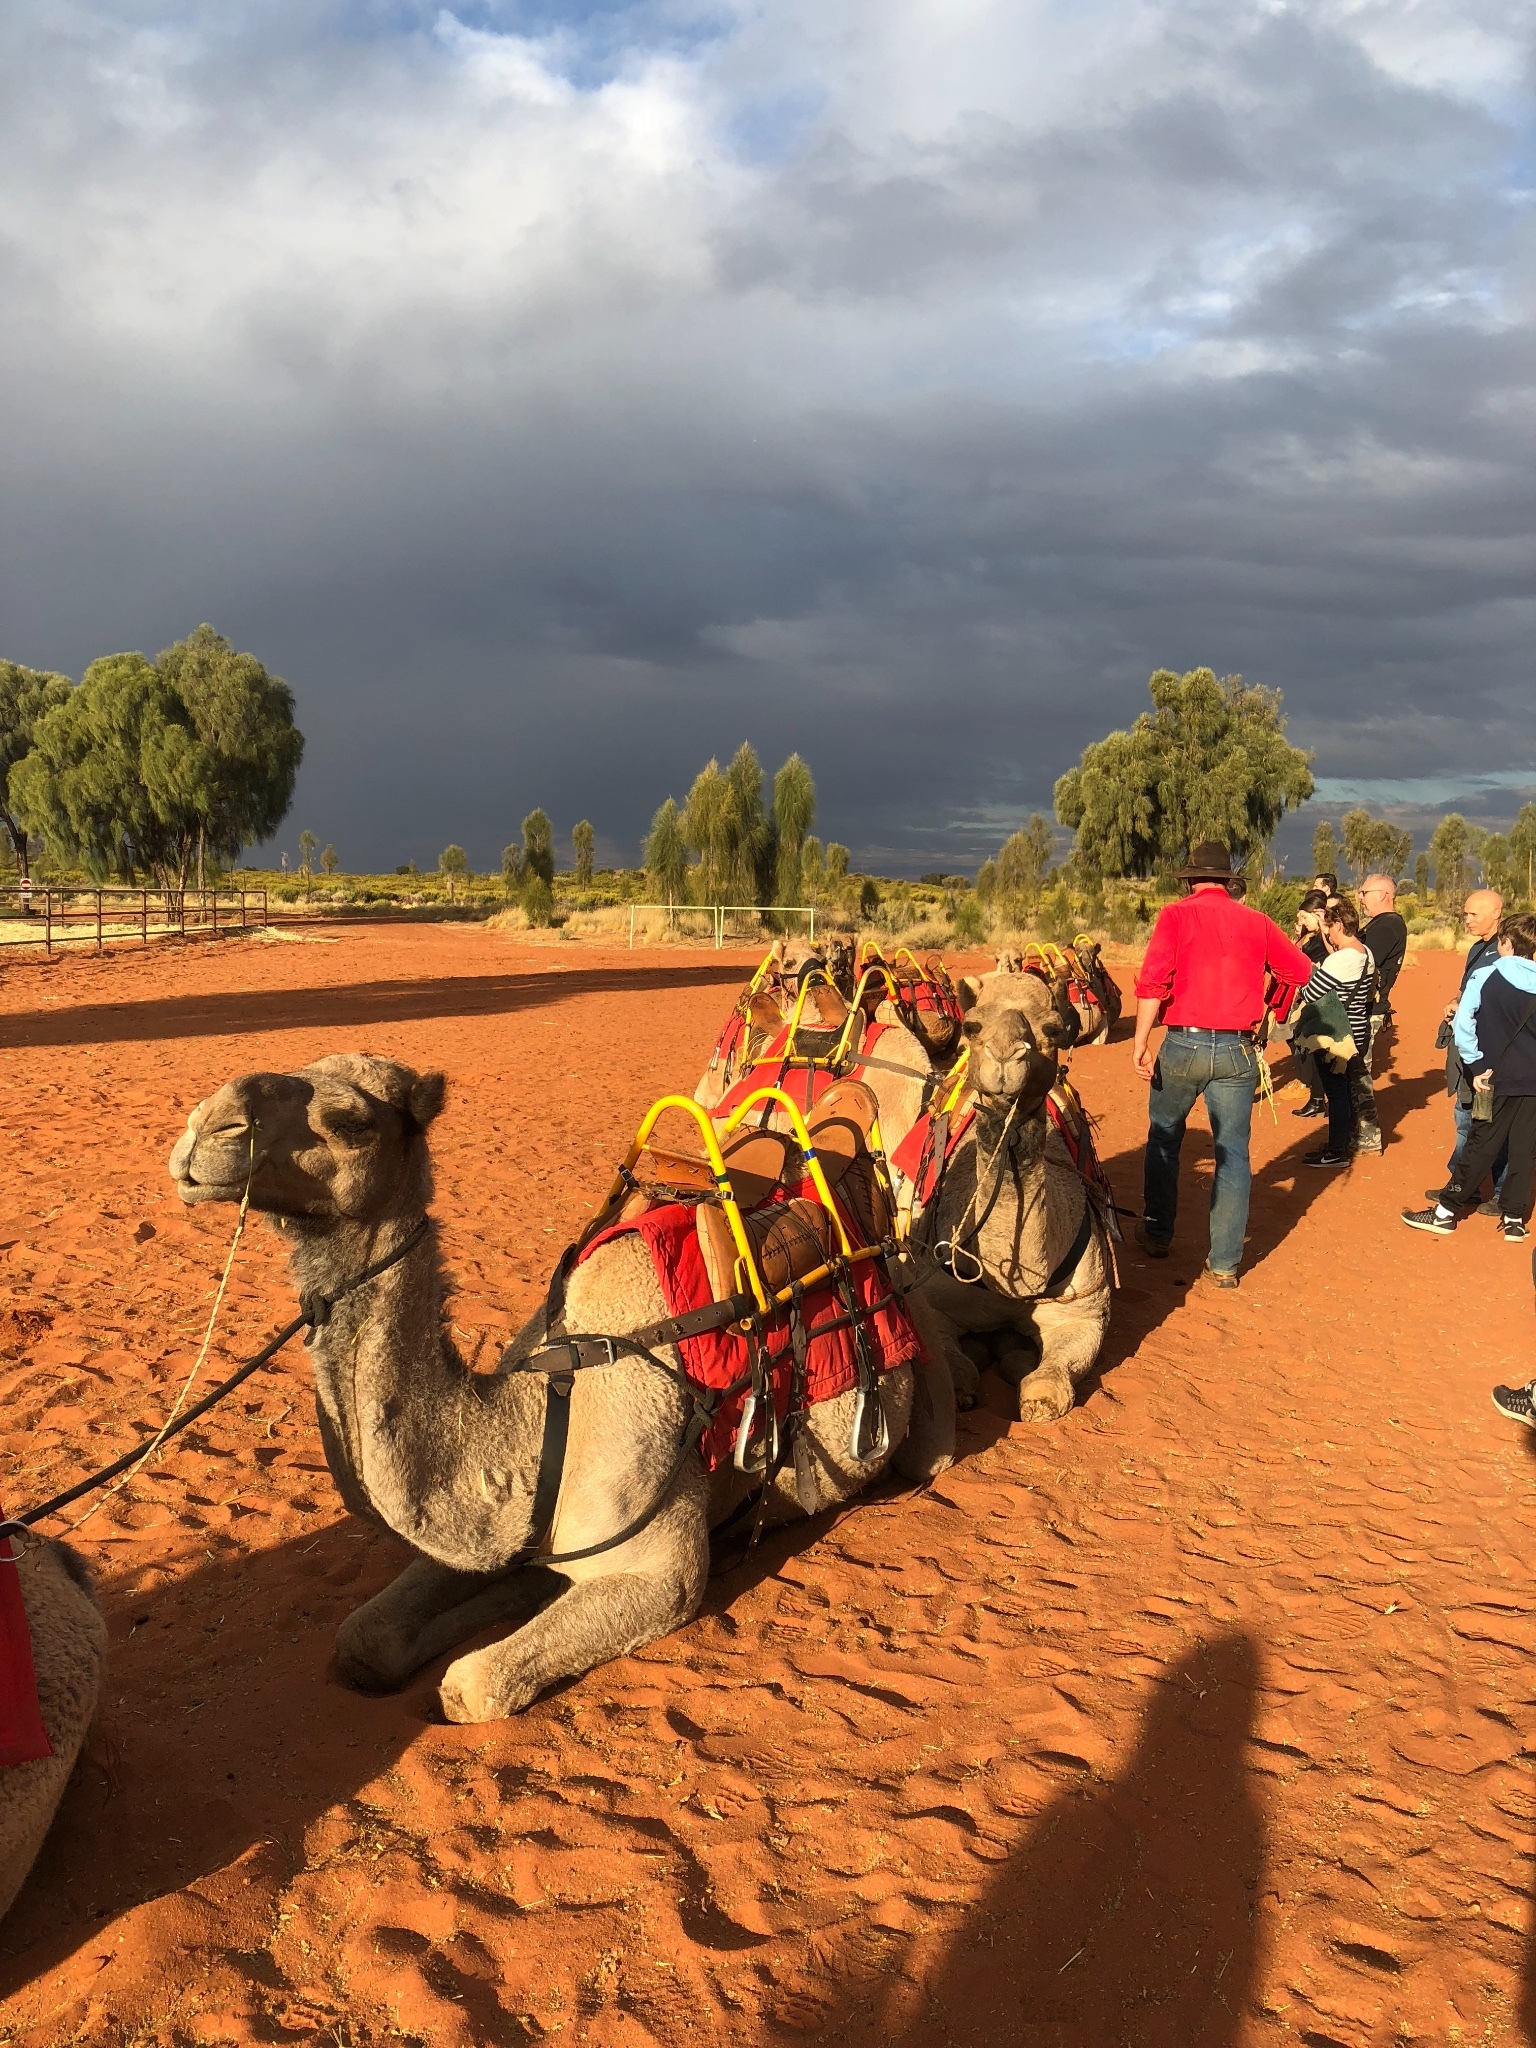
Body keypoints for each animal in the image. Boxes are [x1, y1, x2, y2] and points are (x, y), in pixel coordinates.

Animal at [171, 1064, 962, 1720]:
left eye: (352, 1122)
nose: (203, 1129)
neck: (544, 1415)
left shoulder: (663, 1572)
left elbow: (472, 1687)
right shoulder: (501, 1529)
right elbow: (366, 1636)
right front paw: (508, 1594)